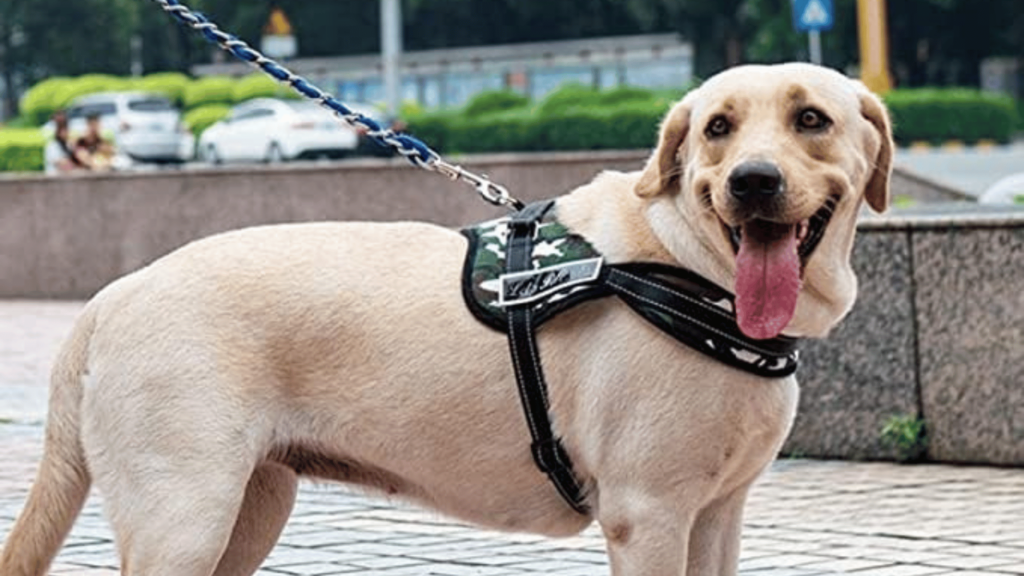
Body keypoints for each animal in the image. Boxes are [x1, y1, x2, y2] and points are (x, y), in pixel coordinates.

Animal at [2, 62, 888, 573]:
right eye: (717, 128)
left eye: (810, 119)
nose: (752, 181)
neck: (686, 264)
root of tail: (111, 297)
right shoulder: (649, 514)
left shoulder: (716, 515)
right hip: (184, 515)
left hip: (250, 507)